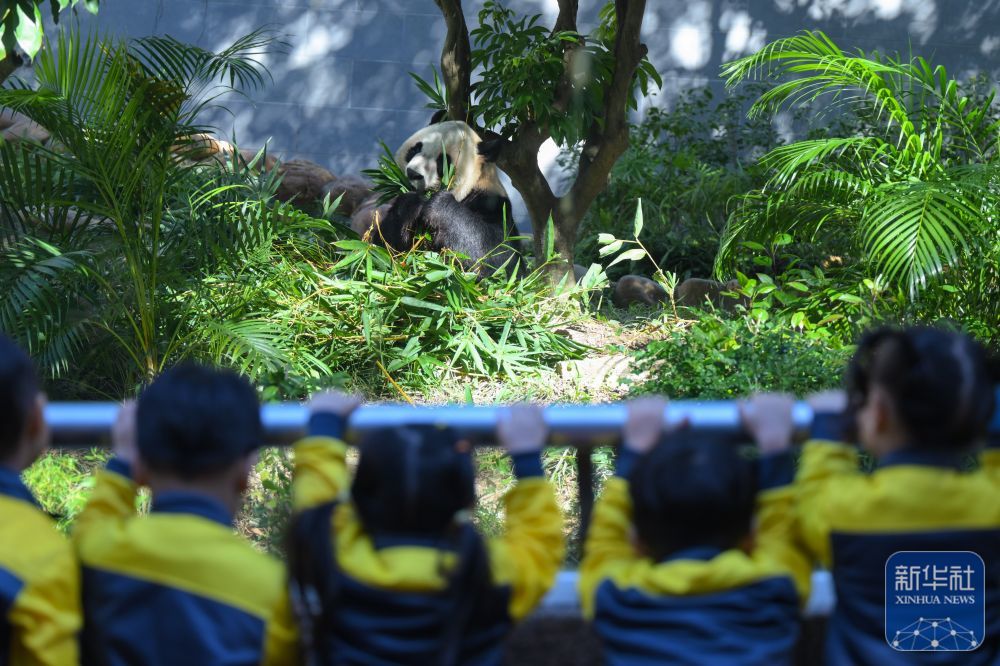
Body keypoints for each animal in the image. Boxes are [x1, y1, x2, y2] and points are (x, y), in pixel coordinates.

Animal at [364, 120, 528, 274]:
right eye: (415, 149)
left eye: (442, 161)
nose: (413, 173)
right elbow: (381, 250)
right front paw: (411, 204)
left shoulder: (493, 205)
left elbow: (498, 258)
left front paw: (440, 206)